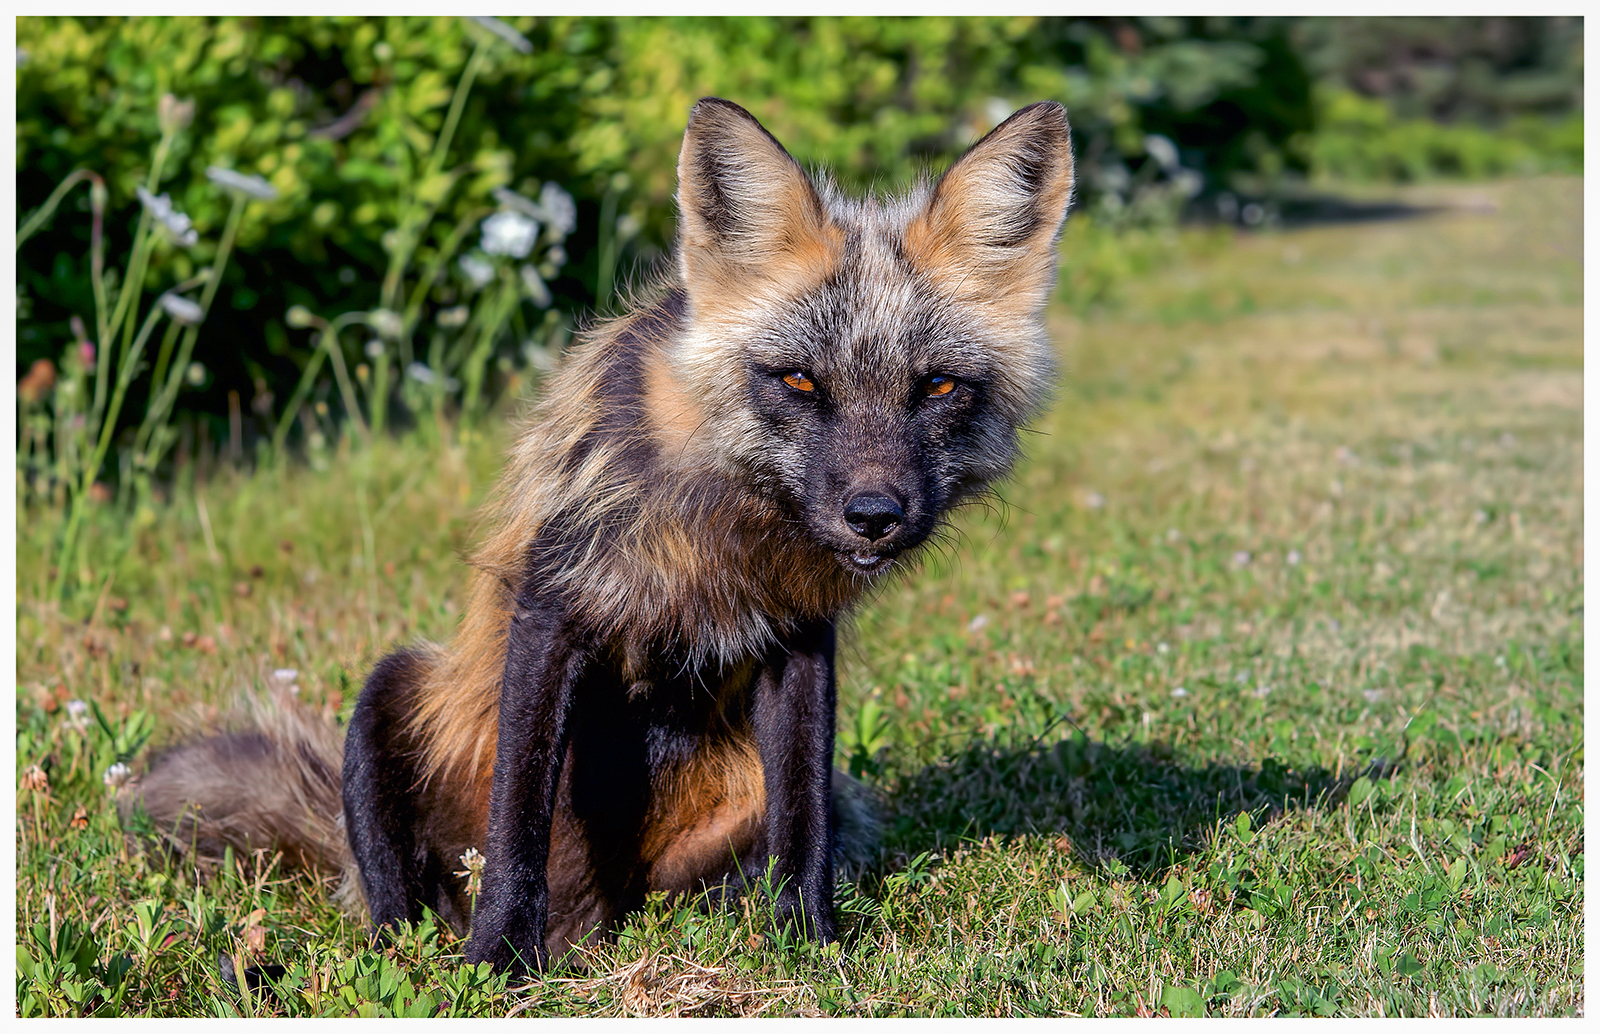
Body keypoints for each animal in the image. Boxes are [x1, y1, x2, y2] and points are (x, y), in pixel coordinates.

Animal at [125, 97, 1074, 975]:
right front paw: (498, 962)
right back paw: (417, 954)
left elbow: (802, 828)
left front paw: (809, 948)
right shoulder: (555, 608)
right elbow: (519, 824)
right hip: (389, 697)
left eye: (939, 387)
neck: (723, 533)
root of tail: (588, 923)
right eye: (800, 381)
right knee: (399, 910)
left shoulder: (801, 640)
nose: (874, 515)